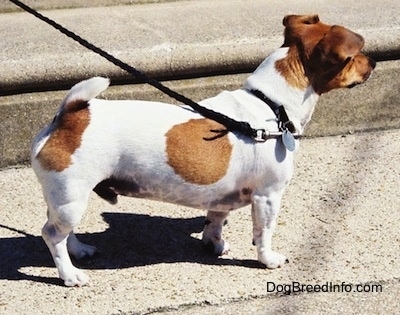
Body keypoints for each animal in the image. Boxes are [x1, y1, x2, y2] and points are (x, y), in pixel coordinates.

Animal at [30, 14, 376, 288]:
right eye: (356, 55)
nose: (374, 62)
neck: (271, 105)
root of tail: (70, 115)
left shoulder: (222, 195)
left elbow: (216, 219)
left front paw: (214, 244)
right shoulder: (268, 196)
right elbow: (264, 232)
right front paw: (267, 259)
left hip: (65, 198)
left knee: (59, 228)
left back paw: (79, 251)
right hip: (73, 197)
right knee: (51, 235)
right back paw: (70, 275)